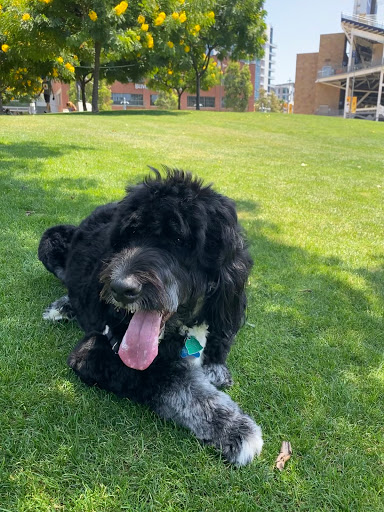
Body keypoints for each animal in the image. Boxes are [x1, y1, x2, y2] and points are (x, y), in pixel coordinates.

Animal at [39, 168, 264, 464]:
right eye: (129, 236)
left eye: (179, 240)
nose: (119, 288)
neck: (184, 327)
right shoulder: (96, 352)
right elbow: (172, 382)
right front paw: (232, 427)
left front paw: (216, 367)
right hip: (50, 238)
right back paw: (63, 306)